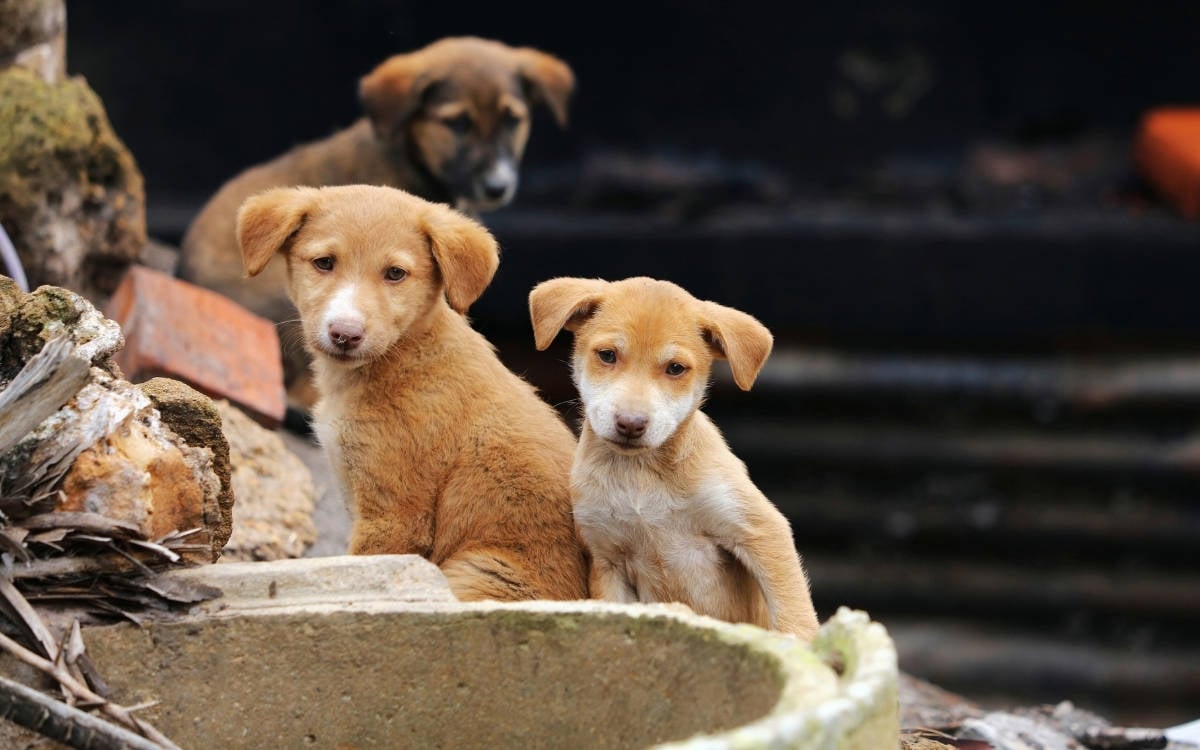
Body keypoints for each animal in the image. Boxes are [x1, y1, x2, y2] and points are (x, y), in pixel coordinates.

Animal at [237, 184, 585, 600]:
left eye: (395, 274)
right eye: (324, 263)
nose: (345, 334)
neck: (403, 356)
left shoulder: (394, 514)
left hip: (478, 571)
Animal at [530, 274, 820, 638]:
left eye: (676, 368)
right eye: (607, 355)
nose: (630, 423)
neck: (641, 475)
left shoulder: (761, 530)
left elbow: (793, 611)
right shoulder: (607, 560)